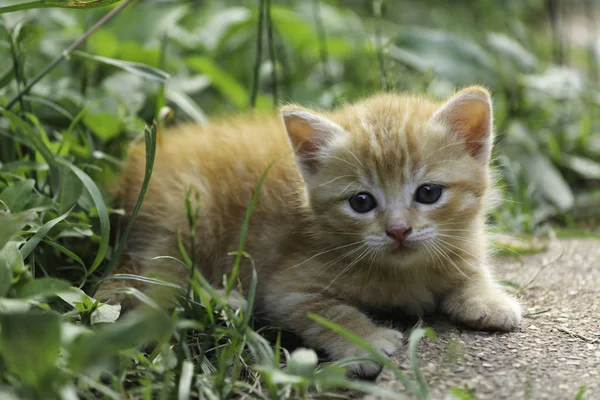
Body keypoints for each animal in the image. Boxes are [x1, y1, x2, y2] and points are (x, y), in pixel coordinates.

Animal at [98, 86, 520, 378]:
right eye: (361, 202)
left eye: (429, 193)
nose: (398, 230)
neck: (403, 271)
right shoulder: (287, 289)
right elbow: (330, 312)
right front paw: (366, 341)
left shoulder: (461, 247)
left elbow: (471, 274)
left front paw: (488, 300)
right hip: (184, 218)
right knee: (154, 287)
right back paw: (224, 300)